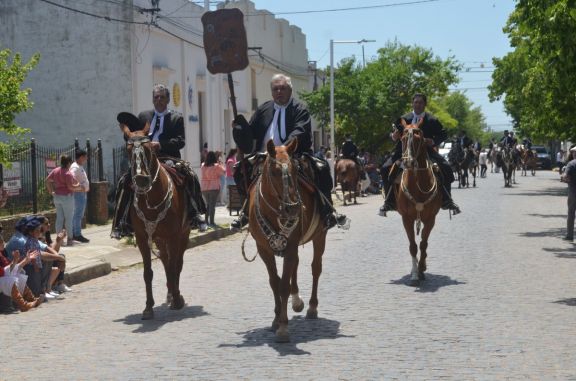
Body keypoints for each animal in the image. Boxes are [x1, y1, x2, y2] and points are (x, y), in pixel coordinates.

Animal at [119, 122, 191, 318]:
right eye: (128, 149)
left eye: (149, 148)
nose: (141, 180)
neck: (151, 198)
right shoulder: (143, 238)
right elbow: (148, 272)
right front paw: (148, 307)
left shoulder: (174, 236)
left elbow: (175, 266)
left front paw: (178, 300)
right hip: (159, 238)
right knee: (166, 261)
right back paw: (170, 293)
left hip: (182, 235)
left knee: (177, 263)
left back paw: (175, 294)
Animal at [246, 139, 328, 342]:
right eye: (274, 171)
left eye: (295, 169)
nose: (294, 208)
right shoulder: (264, 250)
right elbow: (275, 282)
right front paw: (276, 319)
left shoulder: (290, 246)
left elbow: (283, 285)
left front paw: (283, 327)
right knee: (295, 267)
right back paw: (297, 301)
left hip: (320, 236)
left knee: (316, 268)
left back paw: (312, 307)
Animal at [394, 119, 444, 284]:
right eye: (402, 138)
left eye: (418, 138)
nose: (408, 162)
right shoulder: (406, 219)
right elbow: (413, 246)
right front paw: (415, 274)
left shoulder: (431, 219)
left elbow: (423, 244)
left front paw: (421, 268)